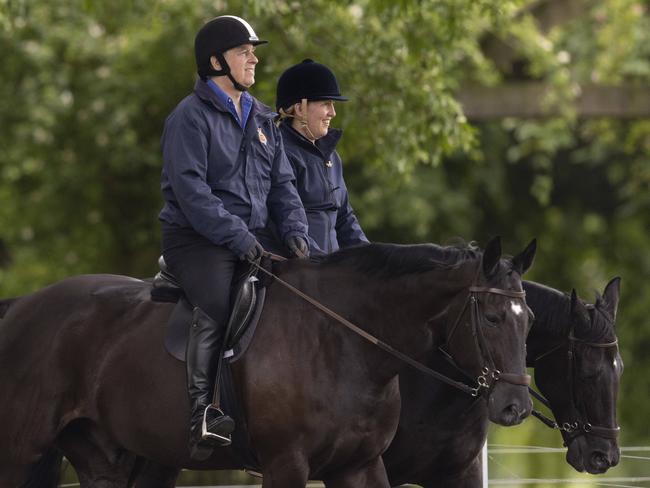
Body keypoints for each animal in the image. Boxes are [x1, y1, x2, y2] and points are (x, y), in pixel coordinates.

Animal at [1, 237, 532, 488]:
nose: (517, 408)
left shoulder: (359, 466)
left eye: (527, 322)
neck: (341, 342)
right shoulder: (286, 465)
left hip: (108, 458)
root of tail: (24, 305)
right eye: (490, 317)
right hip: (19, 450)